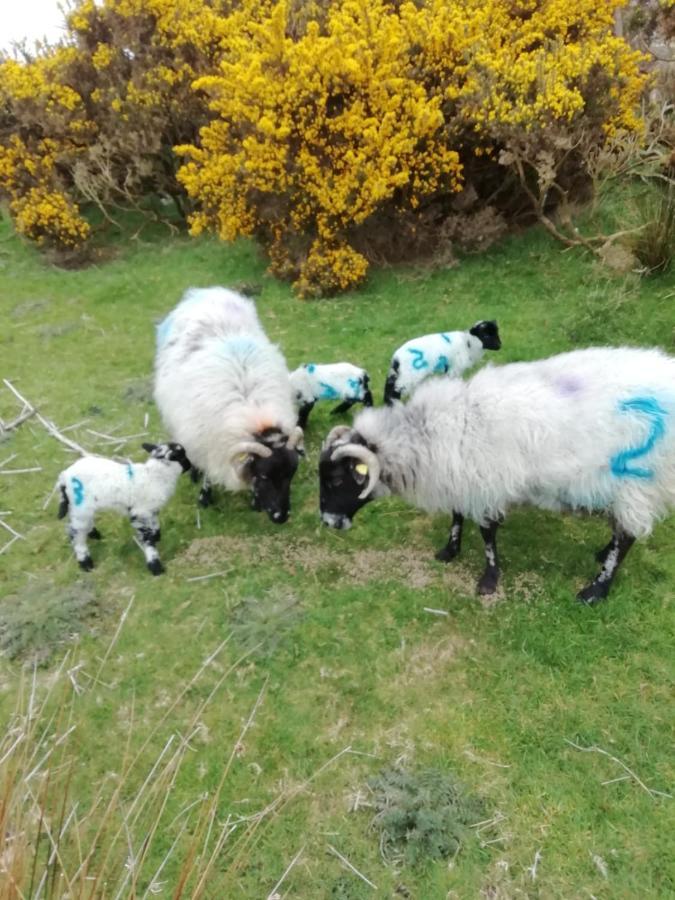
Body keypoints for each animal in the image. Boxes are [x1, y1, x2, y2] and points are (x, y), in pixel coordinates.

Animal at [56, 442, 191, 576]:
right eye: (182, 456)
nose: (190, 465)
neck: (154, 476)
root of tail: (64, 476)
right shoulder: (140, 512)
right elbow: (147, 539)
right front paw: (155, 566)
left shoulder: (151, 511)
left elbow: (155, 526)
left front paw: (157, 537)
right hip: (81, 506)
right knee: (75, 534)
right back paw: (86, 563)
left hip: (77, 507)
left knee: (73, 525)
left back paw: (94, 534)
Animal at [153, 288, 304, 524]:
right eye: (264, 476)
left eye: (291, 474)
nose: (281, 517)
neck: (257, 416)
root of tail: (206, 291)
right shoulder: (206, 442)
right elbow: (208, 474)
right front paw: (204, 498)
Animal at [320, 344, 675, 604]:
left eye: (337, 479)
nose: (328, 523)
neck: (428, 435)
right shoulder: (463, 474)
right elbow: (457, 514)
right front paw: (449, 550)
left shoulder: (485, 481)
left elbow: (487, 533)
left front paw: (488, 580)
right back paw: (602, 553)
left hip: (638, 481)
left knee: (627, 536)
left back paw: (596, 589)